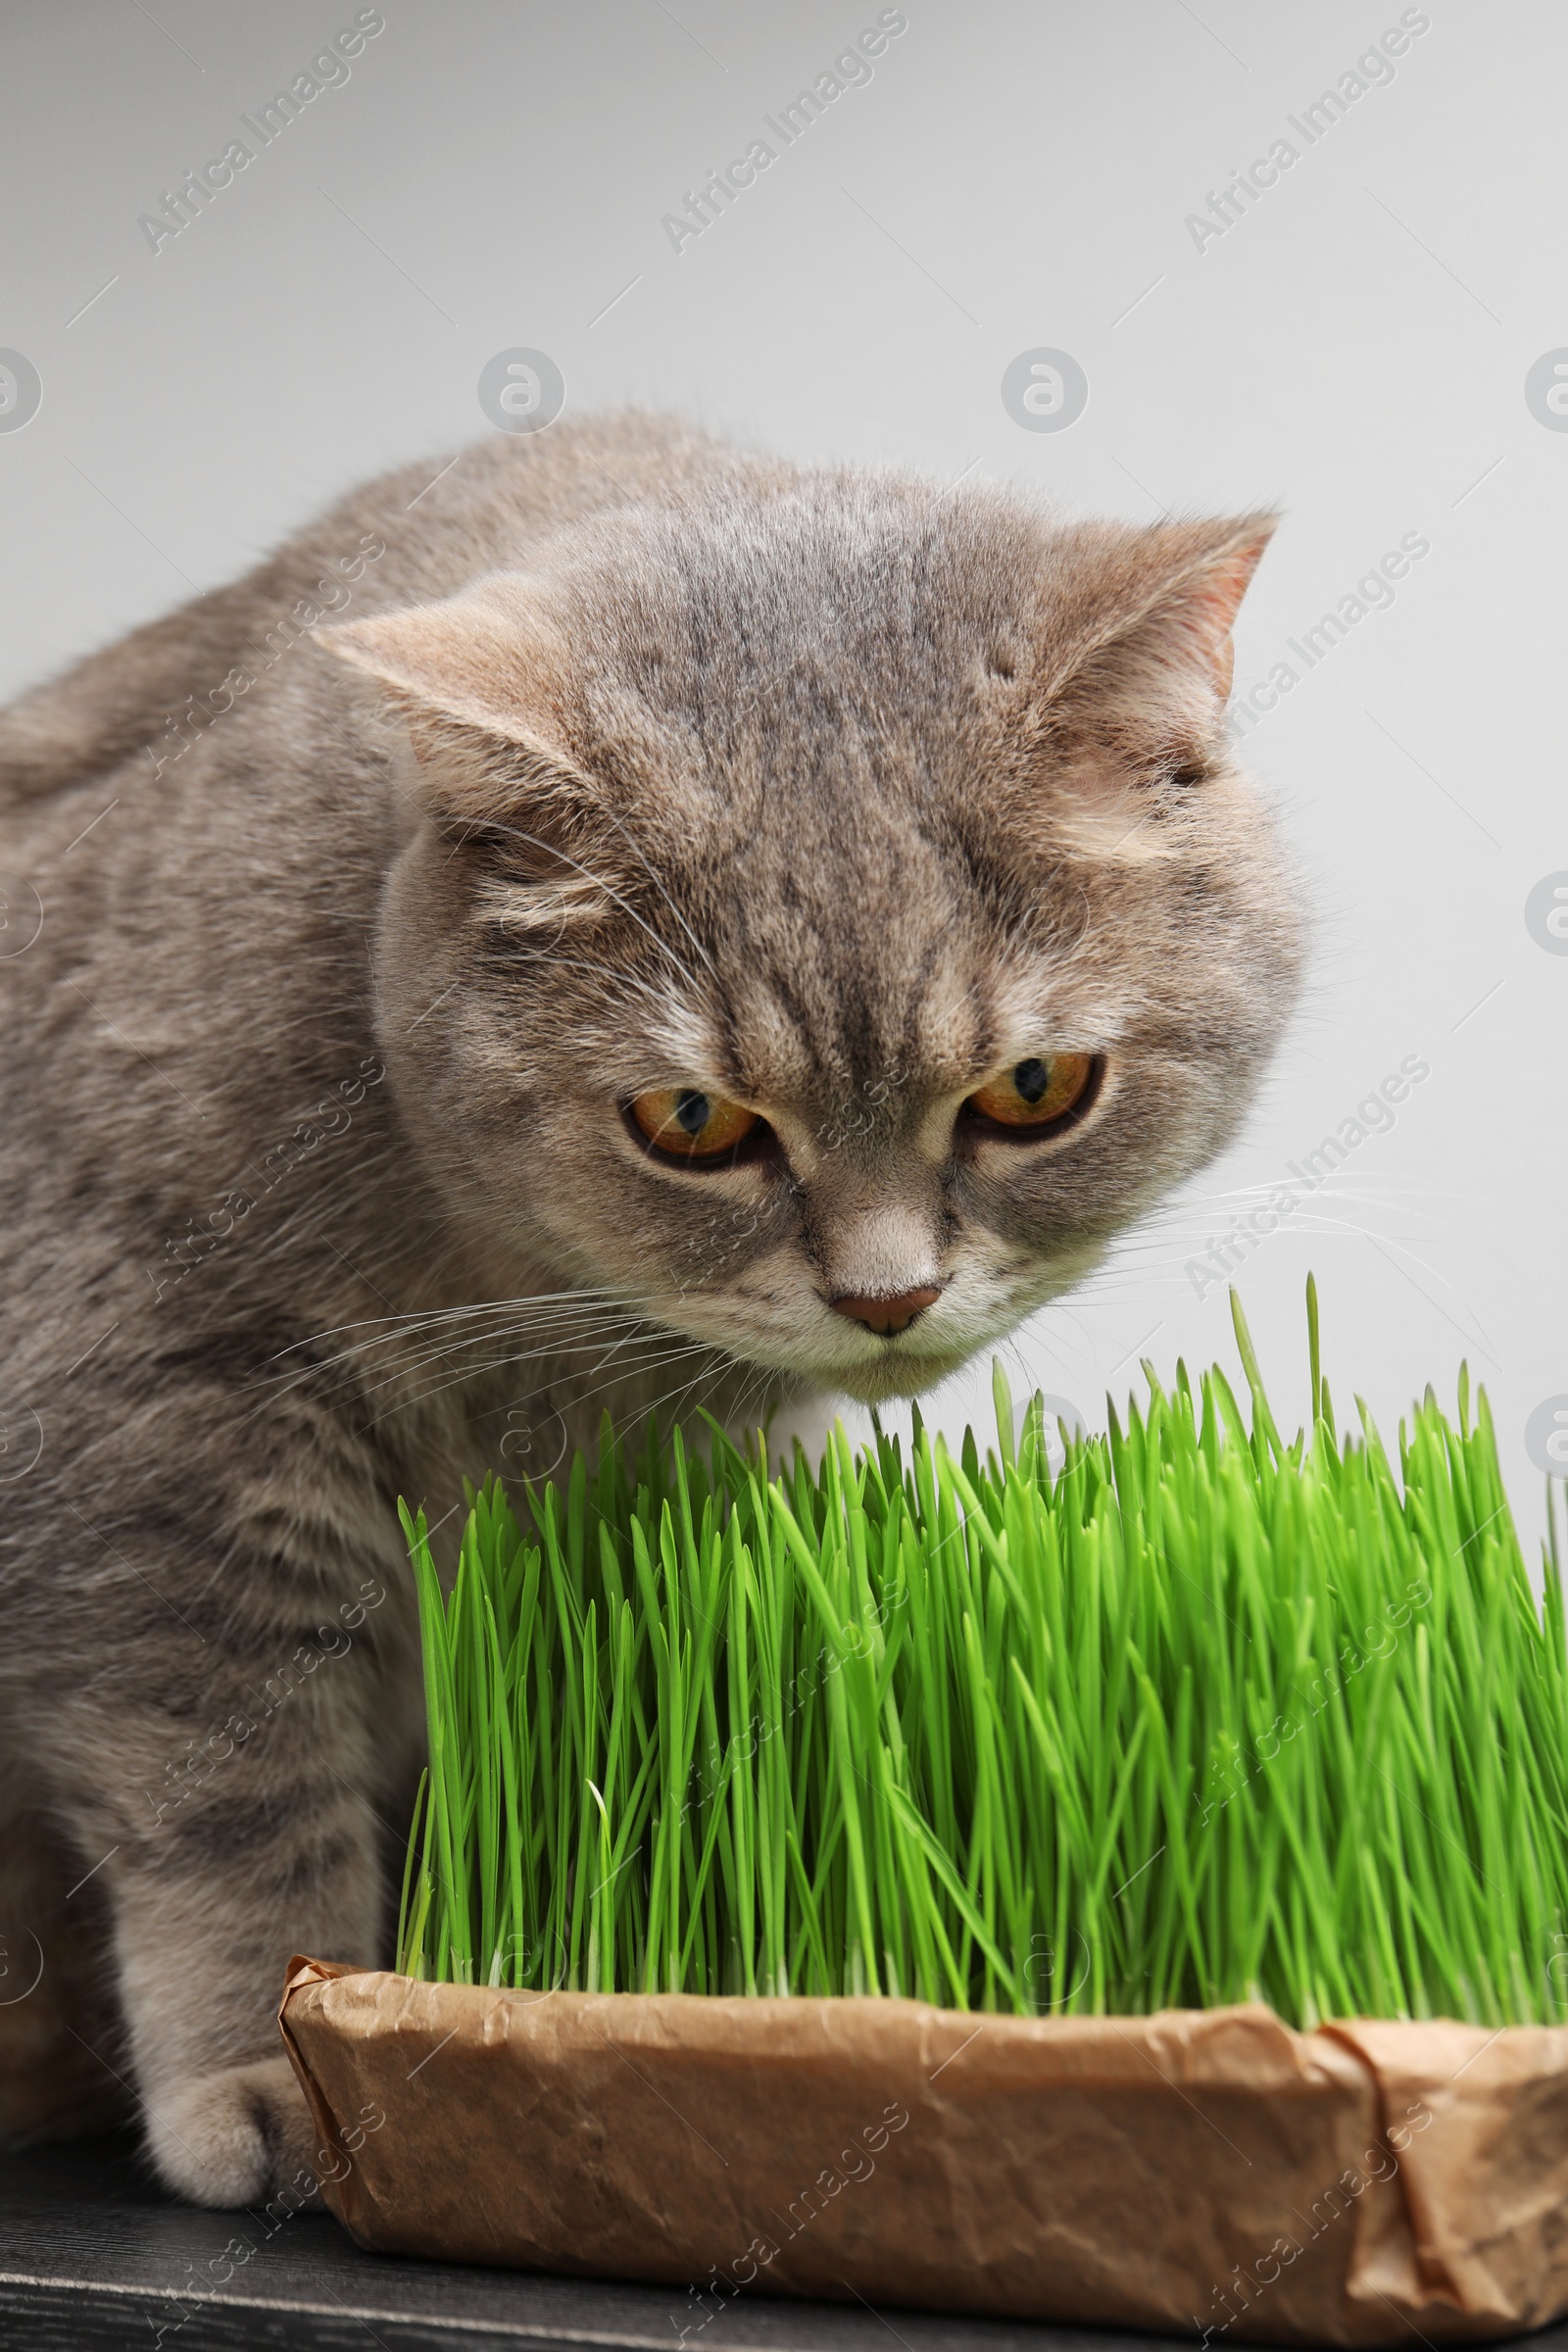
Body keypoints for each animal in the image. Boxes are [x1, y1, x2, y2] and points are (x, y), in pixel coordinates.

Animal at [0, 418, 1298, 2201]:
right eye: (693, 1123)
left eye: (1033, 1092)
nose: (886, 1293)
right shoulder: (138, 1399)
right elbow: (231, 1782)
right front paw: (270, 2067)